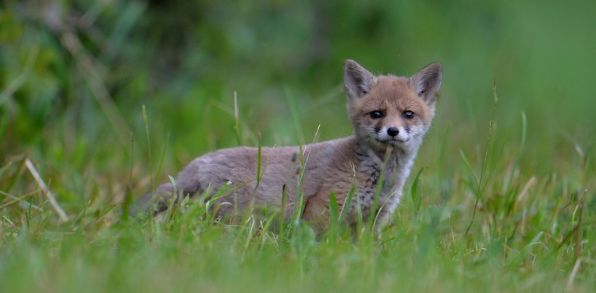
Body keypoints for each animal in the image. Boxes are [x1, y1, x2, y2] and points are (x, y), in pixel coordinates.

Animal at [135, 59, 442, 232]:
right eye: (377, 114)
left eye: (408, 114)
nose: (393, 131)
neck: (382, 176)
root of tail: (199, 163)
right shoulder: (322, 209)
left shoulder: (372, 221)